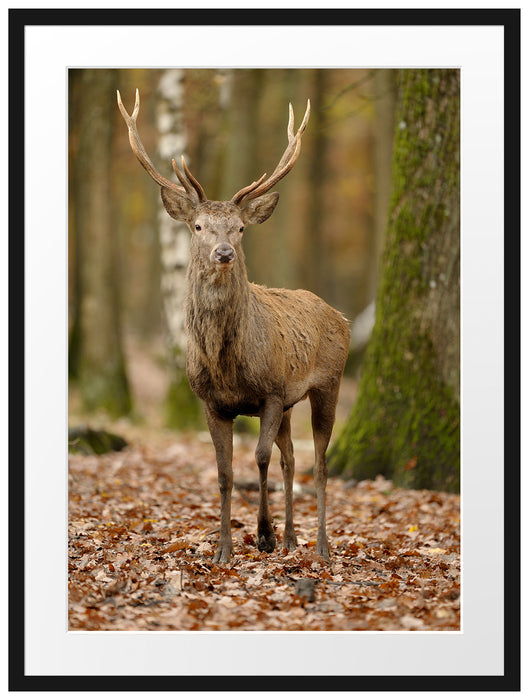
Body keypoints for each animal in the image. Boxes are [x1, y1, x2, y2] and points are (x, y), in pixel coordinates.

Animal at [119, 89, 350, 564]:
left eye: (240, 228)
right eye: (198, 226)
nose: (223, 252)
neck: (227, 364)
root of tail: (342, 317)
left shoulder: (272, 392)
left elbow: (258, 459)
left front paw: (262, 535)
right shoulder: (212, 402)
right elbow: (224, 472)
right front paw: (224, 548)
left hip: (328, 384)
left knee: (319, 464)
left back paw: (319, 544)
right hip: (293, 403)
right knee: (292, 459)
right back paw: (292, 537)